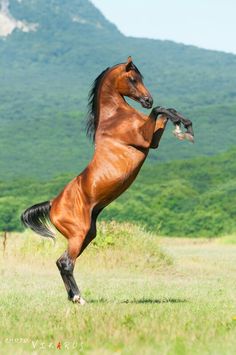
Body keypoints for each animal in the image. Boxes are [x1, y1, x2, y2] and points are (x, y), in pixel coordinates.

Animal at [21, 57, 193, 304]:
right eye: (133, 79)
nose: (147, 100)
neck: (115, 117)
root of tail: (53, 204)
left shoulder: (152, 141)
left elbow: (165, 111)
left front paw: (185, 124)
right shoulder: (145, 139)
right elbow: (160, 111)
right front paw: (183, 127)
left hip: (87, 235)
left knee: (61, 262)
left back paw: (72, 297)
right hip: (78, 234)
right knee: (66, 262)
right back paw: (79, 298)